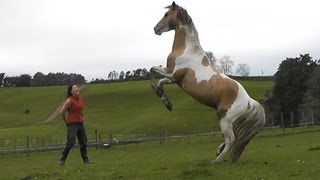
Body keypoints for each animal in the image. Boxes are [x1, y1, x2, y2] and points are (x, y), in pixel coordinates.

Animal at [150, 1, 264, 163]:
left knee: (231, 139)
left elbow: (152, 71)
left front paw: (161, 97)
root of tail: (249, 101)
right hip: (233, 121)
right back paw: (218, 152)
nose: (156, 29)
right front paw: (167, 103)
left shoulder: (172, 73)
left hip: (224, 118)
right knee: (233, 138)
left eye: (166, 14)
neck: (187, 50)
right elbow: (160, 81)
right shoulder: (175, 78)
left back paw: (217, 160)